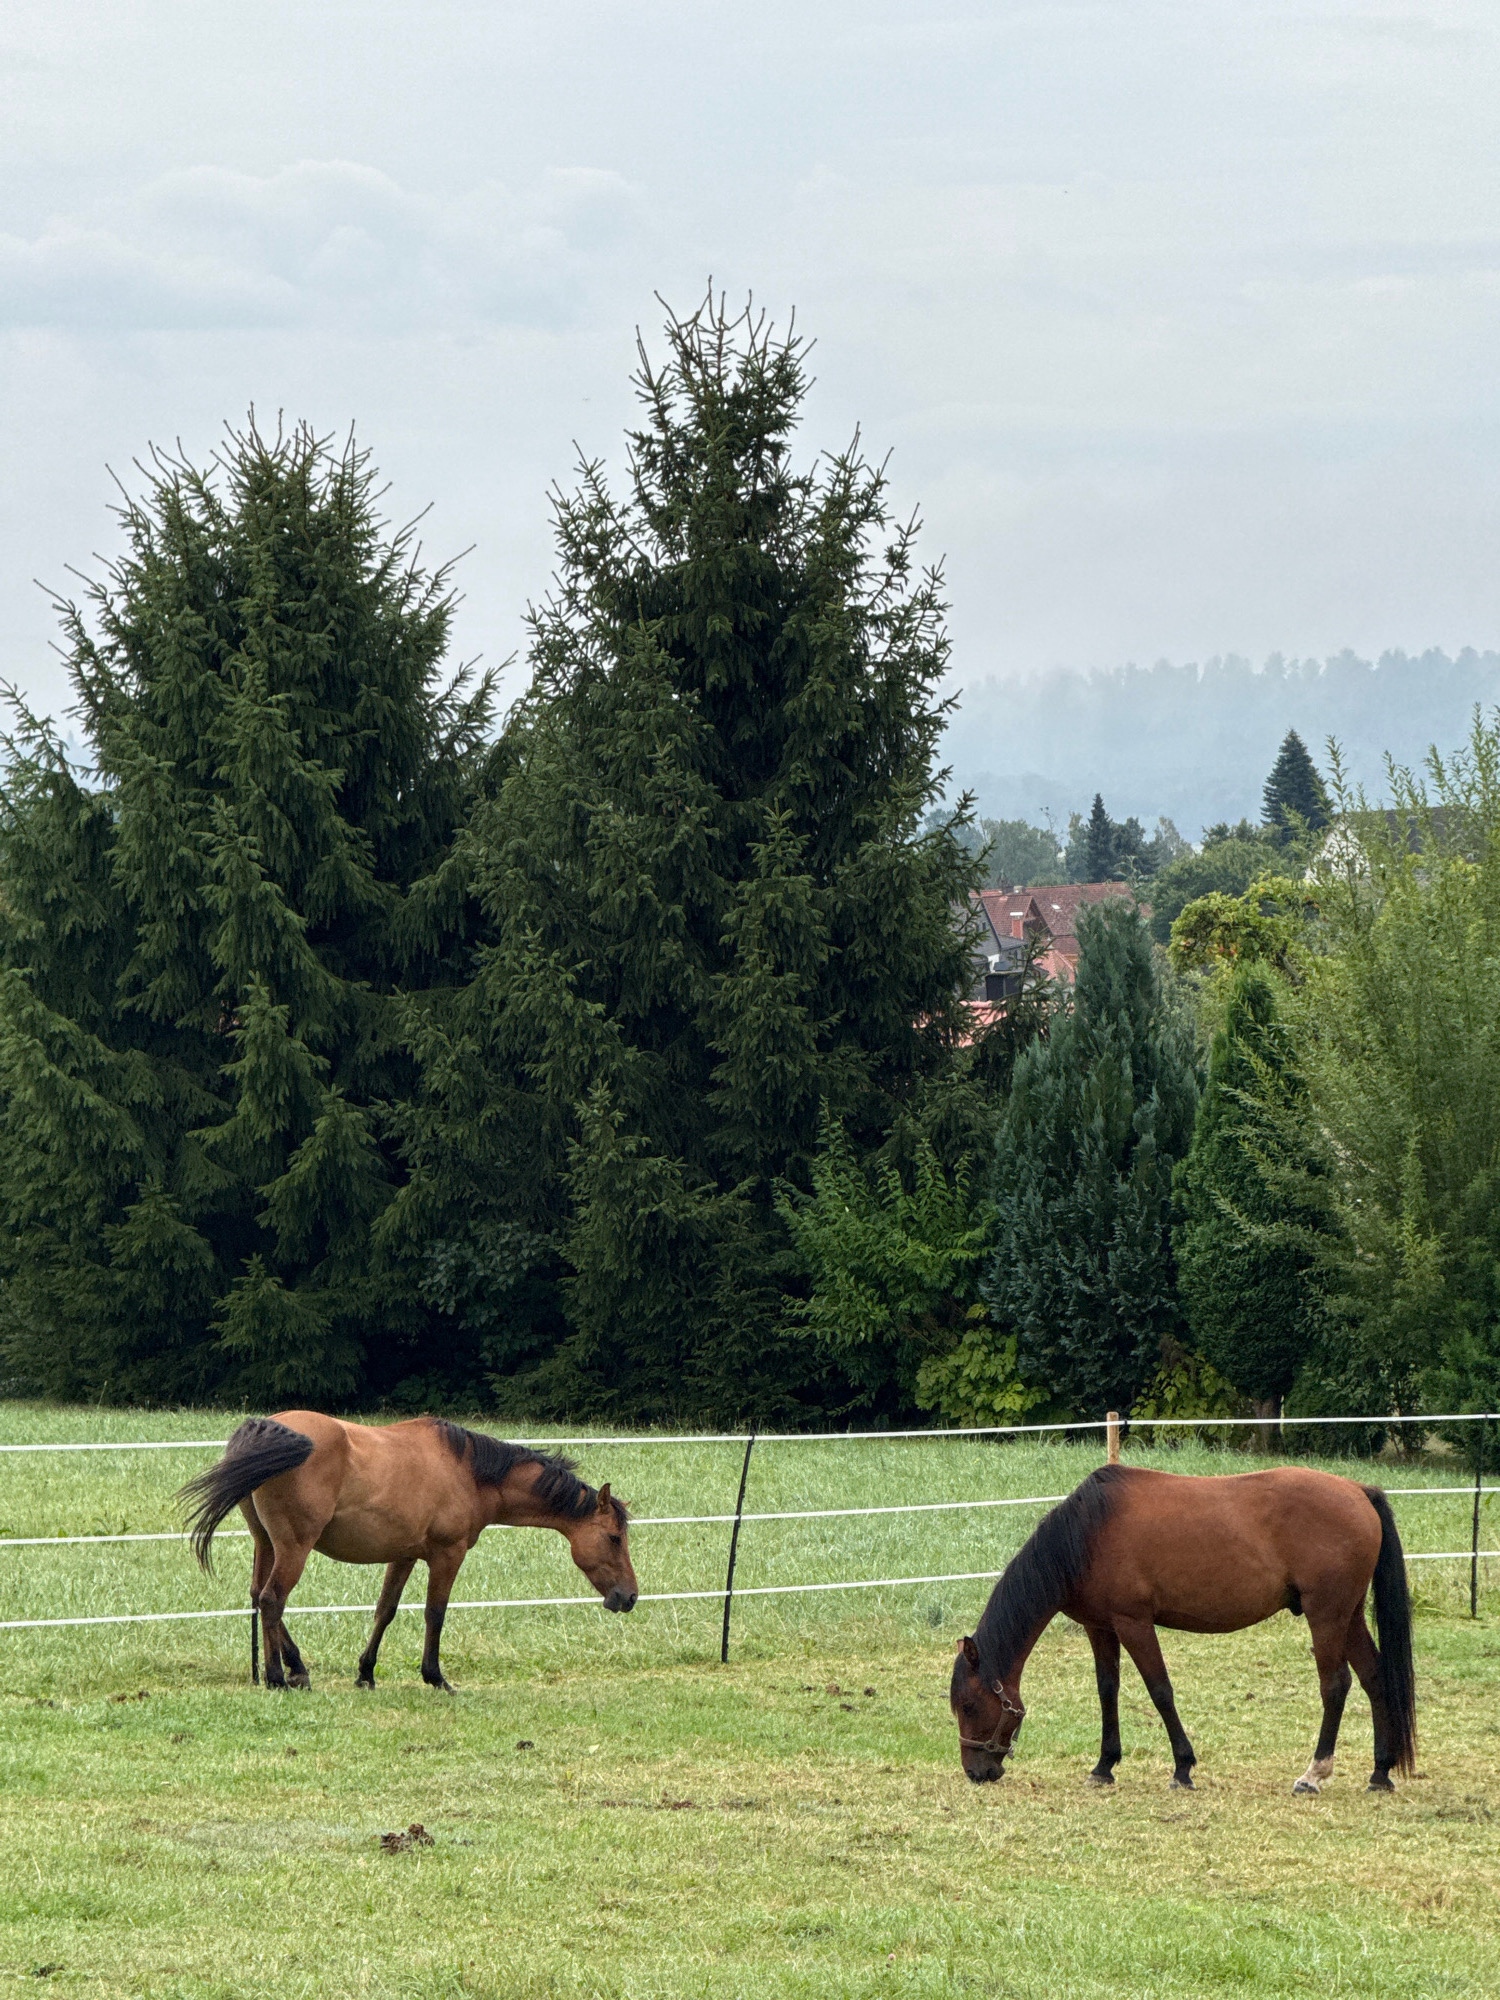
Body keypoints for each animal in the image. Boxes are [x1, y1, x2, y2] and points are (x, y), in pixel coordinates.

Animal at [179, 1411, 638, 1691]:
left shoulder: (403, 1555)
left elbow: (385, 1610)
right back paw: (279, 1676)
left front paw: (366, 1673)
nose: (629, 1596)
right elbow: (436, 1613)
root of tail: (268, 1429)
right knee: (273, 1599)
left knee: (258, 1598)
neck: (469, 1472)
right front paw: (435, 1677)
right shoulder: (447, 1555)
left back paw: (293, 1670)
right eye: (615, 1538)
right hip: (294, 1546)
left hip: (266, 1543)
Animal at [949, 1463, 1416, 1795]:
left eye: (969, 1706)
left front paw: (1182, 1768)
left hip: (1327, 1615)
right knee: (1375, 1677)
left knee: (1335, 1686)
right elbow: (1107, 1691)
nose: (976, 1771)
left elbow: (1160, 1691)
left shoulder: (1134, 1623)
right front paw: (1104, 1766)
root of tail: (1358, 1491)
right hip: (1349, 1616)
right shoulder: (1101, 1628)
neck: (1086, 1535)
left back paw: (1314, 1774)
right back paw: (1380, 1772)